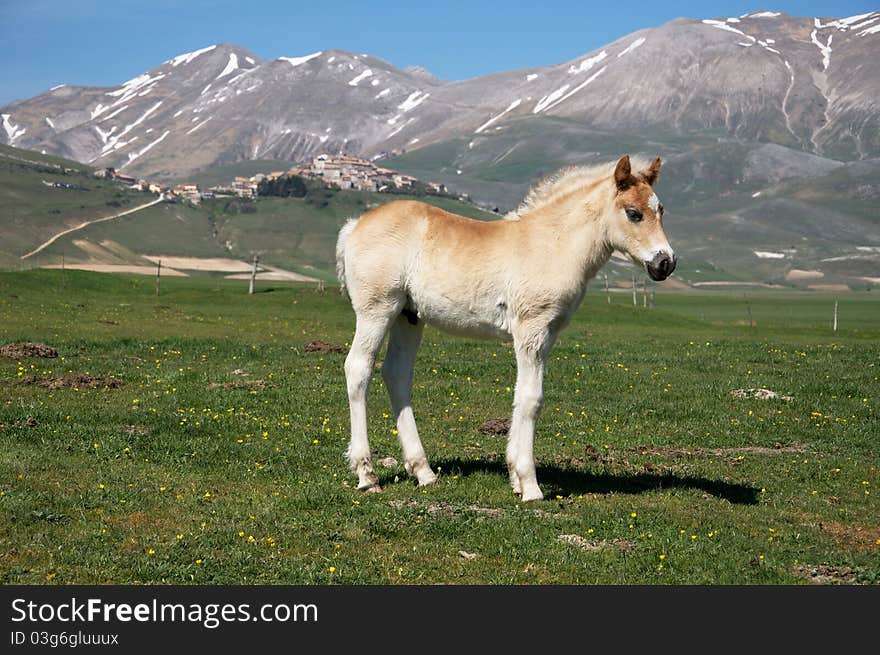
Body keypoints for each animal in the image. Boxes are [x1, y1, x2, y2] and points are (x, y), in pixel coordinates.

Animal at [336, 155, 672, 502]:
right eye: (633, 213)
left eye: (661, 210)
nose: (666, 263)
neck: (551, 243)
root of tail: (354, 226)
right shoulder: (531, 329)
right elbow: (532, 399)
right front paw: (530, 485)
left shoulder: (547, 334)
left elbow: (522, 395)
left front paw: (515, 477)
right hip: (377, 309)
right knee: (358, 368)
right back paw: (367, 474)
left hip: (409, 316)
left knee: (397, 374)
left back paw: (424, 472)